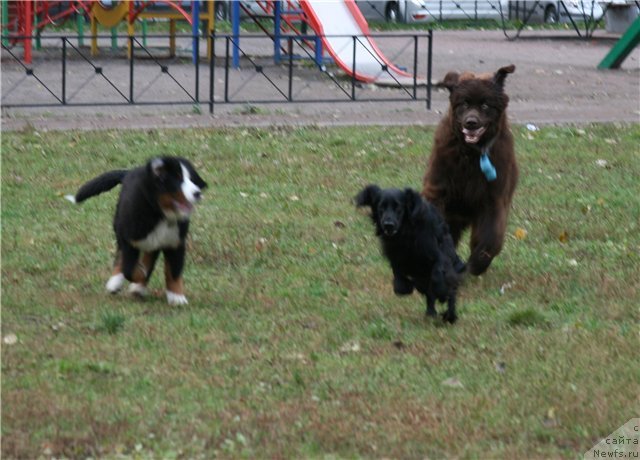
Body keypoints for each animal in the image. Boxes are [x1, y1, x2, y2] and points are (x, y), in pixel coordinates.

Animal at [65, 157, 206, 306]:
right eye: (177, 179)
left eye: (192, 179)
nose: (197, 193)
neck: (160, 214)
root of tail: (129, 172)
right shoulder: (129, 238)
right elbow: (129, 269)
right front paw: (141, 274)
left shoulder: (175, 242)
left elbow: (173, 272)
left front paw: (177, 297)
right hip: (120, 226)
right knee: (121, 257)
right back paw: (116, 282)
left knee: (149, 254)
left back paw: (138, 287)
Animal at [356, 184, 464, 324]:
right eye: (381, 207)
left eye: (398, 208)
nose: (388, 225)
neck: (405, 232)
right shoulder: (395, 257)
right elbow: (399, 282)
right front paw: (407, 286)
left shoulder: (437, 254)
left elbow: (437, 275)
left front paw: (441, 292)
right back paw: (430, 312)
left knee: (450, 290)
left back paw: (449, 315)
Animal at [424, 66, 520, 274]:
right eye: (464, 103)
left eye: (485, 105)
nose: (471, 122)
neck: (471, 155)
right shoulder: (438, 190)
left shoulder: (493, 199)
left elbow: (491, 236)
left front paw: (478, 263)